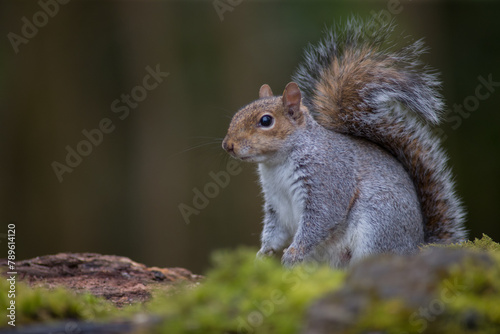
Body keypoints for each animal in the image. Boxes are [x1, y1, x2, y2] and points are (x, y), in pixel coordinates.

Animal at [221, 17, 466, 268]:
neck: (277, 164)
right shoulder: (275, 203)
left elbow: (321, 218)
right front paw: (263, 253)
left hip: (377, 227)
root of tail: (417, 248)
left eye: (266, 121)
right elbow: (275, 230)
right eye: (238, 113)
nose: (228, 145)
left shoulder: (327, 179)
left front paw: (293, 254)